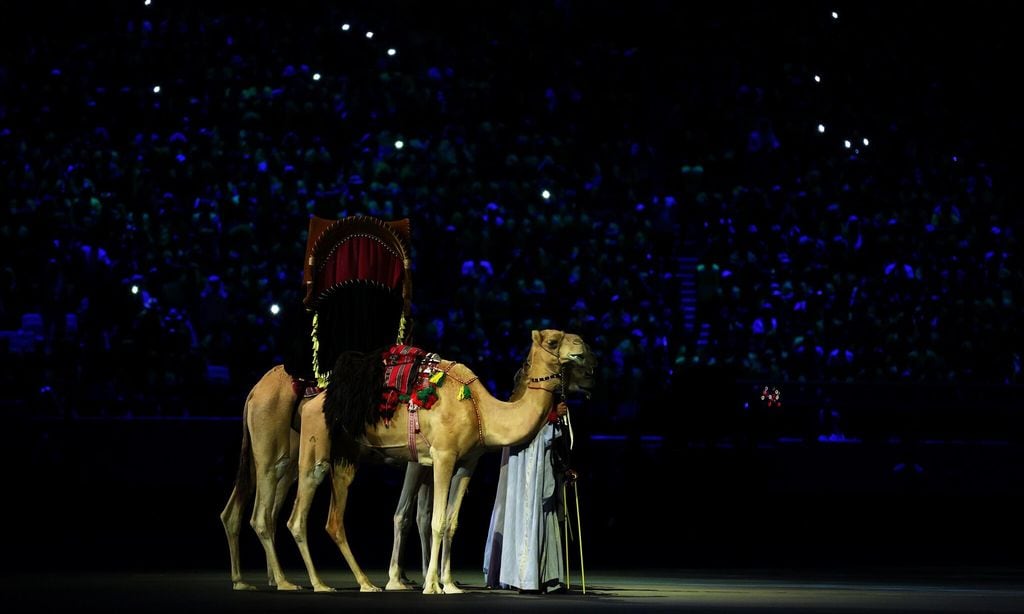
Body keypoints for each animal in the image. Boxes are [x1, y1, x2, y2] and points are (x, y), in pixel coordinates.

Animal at [220, 329, 598, 593]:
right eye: (554, 340)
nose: (587, 354)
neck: (482, 409)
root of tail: (255, 391)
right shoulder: (442, 456)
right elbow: (434, 522)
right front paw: (431, 585)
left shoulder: (467, 462)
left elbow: (451, 523)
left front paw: (450, 584)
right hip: (296, 449)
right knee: (287, 516)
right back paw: (309, 583)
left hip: (333, 456)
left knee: (313, 518)